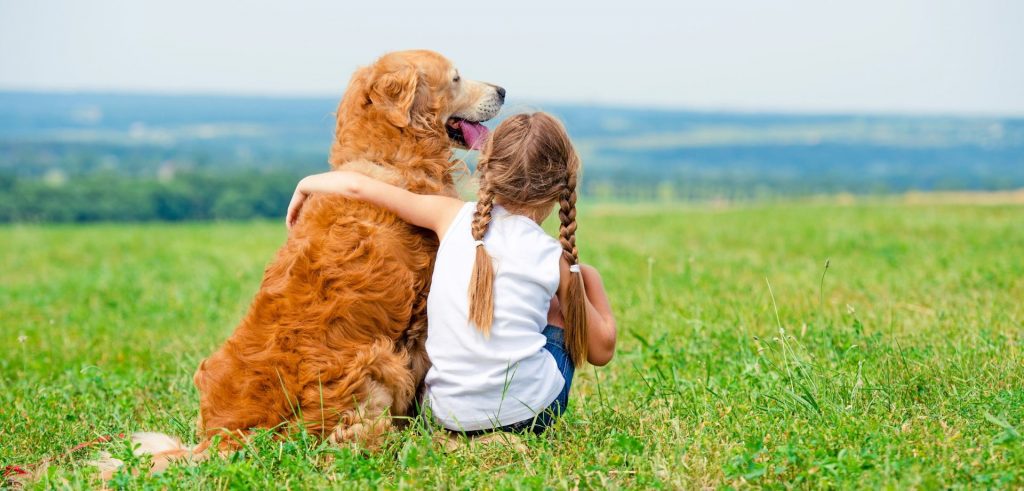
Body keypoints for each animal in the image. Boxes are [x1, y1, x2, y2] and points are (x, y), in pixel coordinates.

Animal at [102, 48, 503, 473]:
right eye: (456, 78)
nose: (503, 91)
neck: (388, 158)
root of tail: (225, 438)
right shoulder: (420, 317)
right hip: (378, 359)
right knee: (363, 442)